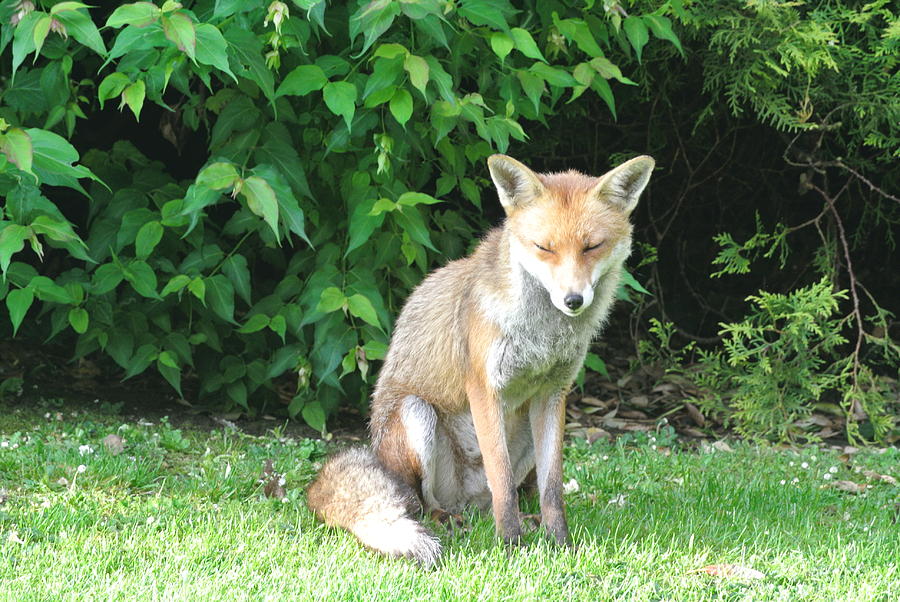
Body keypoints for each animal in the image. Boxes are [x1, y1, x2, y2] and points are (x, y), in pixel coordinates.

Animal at [308, 152, 652, 564]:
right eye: (544, 247)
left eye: (592, 246)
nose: (573, 300)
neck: (541, 335)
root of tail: (466, 500)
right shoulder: (484, 388)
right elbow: (500, 478)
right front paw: (510, 547)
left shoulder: (553, 393)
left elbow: (552, 488)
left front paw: (561, 543)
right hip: (415, 413)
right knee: (422, 501)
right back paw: (447, 519)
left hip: (525, 436)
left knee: (505, 496)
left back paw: (520, 520)